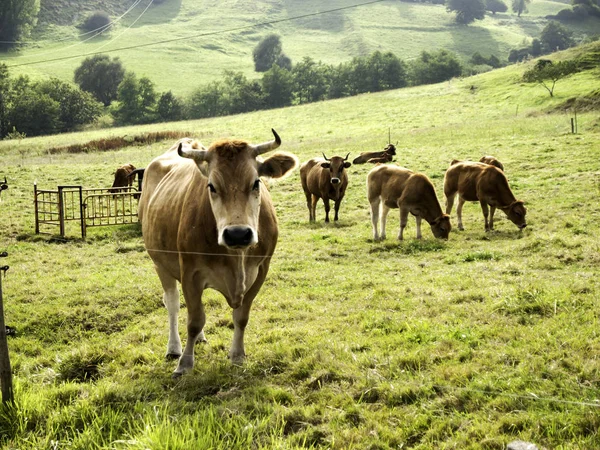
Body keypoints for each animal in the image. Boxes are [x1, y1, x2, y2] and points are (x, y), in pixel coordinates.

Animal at [141, 129, 300, 376]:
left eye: (256, 183)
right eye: (211, 186)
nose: (237, 234)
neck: (236, 258)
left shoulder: (261, 271)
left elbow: (241, 317)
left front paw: (238, 356)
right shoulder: (190, 273)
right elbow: (194, 320)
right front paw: (185, 364)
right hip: (160, 264)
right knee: (173, 303)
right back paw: (174, 347)